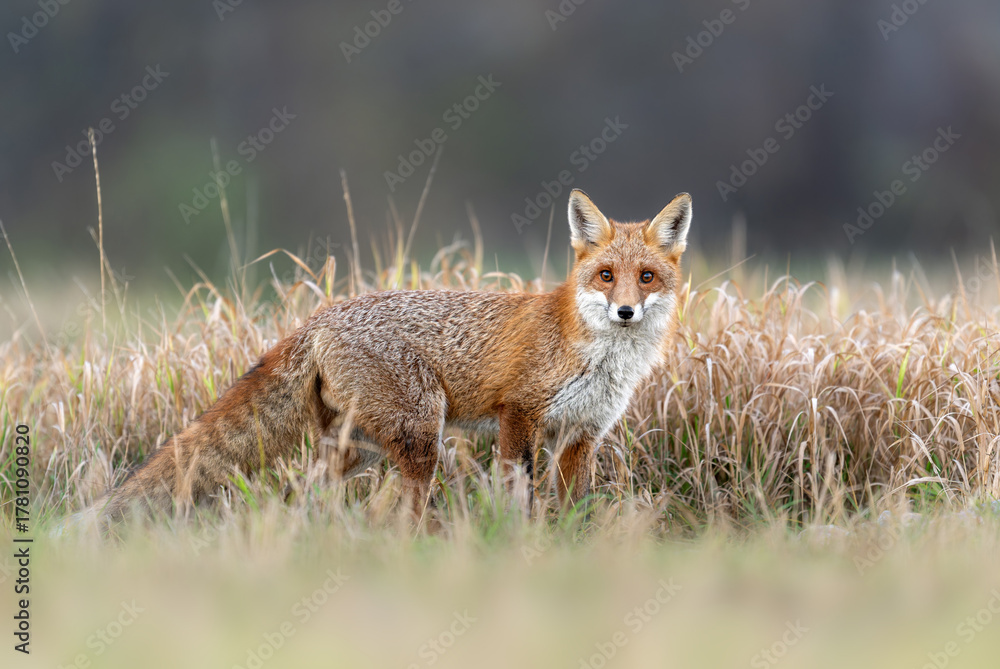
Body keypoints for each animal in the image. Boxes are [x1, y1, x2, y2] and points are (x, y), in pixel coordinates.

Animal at [92, 189, 692, 527]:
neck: (595, 356)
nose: (625, 312)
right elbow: (518, 496)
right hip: (420, 440)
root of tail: (320, 316)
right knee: (394, 513)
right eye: (606, 276)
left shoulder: (581, 435)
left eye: (646, 277)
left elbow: (573, 510)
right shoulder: (518, 412)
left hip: (361, 449)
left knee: (305, 495)